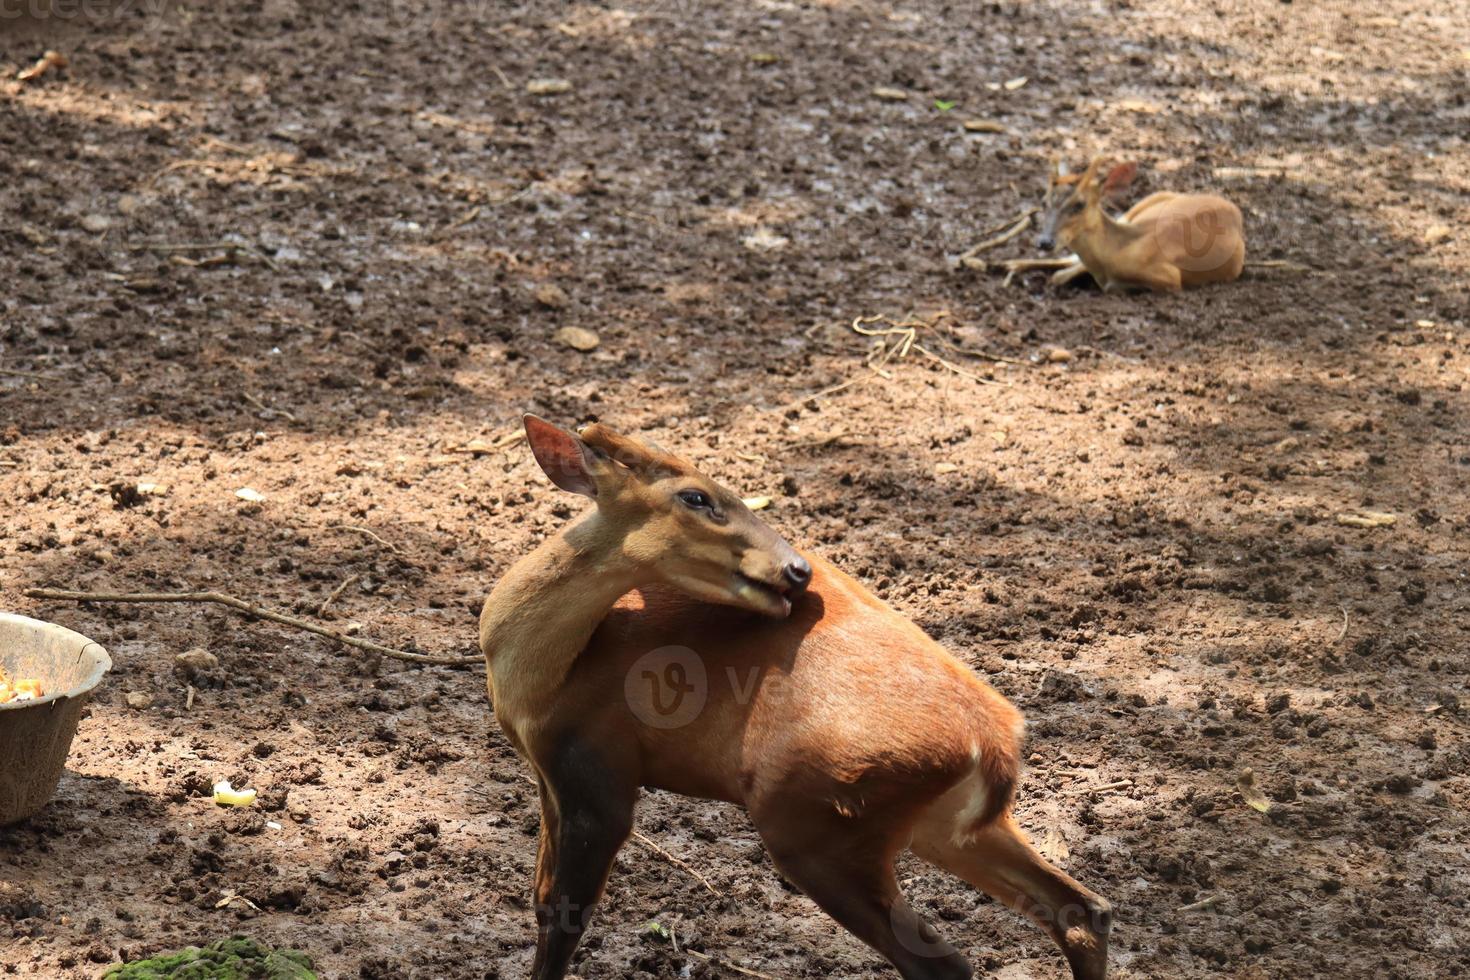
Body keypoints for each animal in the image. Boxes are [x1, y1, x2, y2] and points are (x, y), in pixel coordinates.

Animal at [482, 414, 1111, 980]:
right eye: (696, 496)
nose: (798, 569)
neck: (549, 673)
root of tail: (995, 741)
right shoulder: (547, 775)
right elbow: (541, 898)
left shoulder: (599, 772)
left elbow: (565, 915)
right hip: (948, 827)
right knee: (1082, 909)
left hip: (816, 825)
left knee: (946, 962)